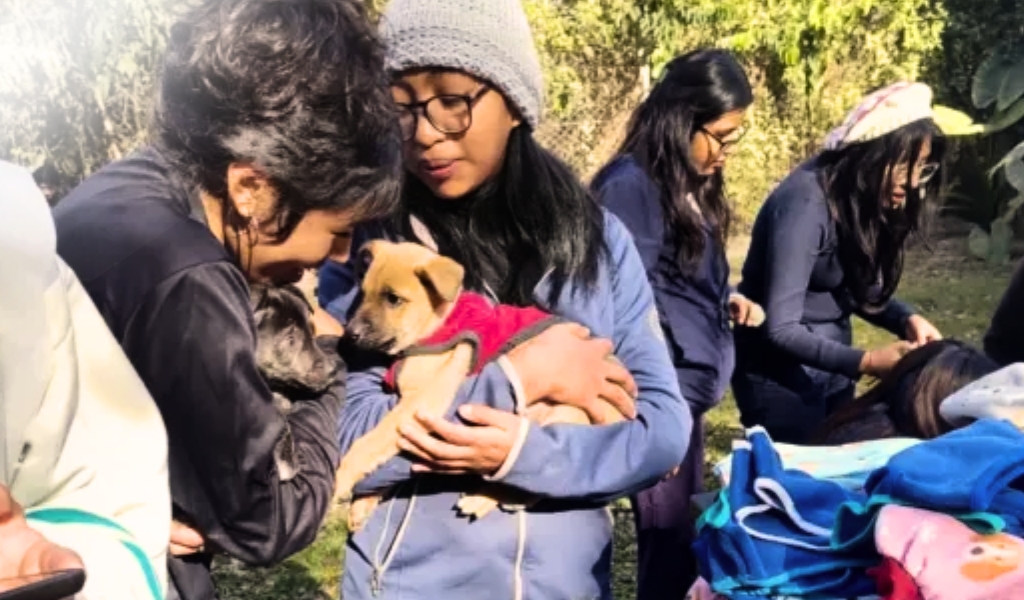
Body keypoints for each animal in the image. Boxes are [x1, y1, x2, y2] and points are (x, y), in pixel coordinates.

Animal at [335, 238, 622, 528]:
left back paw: (484, 498)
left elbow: (372, 440)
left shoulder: (424, 400)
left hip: (566, 416)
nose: (349, 334)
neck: (437, 324)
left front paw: (340, 479)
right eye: (364, 293)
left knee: (541, 481)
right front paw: (364, 500)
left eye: (393, 299)